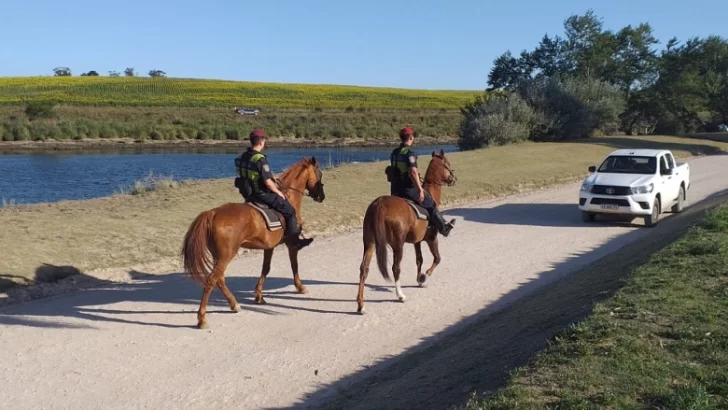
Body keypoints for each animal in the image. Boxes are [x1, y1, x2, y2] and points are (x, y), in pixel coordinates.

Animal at [182, 155, 328, 328]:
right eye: (319, 173)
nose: (321, 196)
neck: (289, 197)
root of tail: (212, 213)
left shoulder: (269, 247)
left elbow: (265, 268)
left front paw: (259, 295)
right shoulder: (291, 244)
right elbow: (294, 266)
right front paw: (300, 287)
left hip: (220, 256)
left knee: (220, 279)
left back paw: (234, 304)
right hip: (226, 255)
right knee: (212, 280)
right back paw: (202, 318)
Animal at [356, 149, 456, 312]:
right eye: (447, 163)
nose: (454, 178)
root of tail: (379, 204)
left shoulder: (417, 241)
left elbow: (419, 259)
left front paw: (419, 279)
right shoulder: (431, 238)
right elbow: (437, 258)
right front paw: (425, 276)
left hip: (370, 243)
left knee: (364, 269)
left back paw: (360, 305)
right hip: (398, 245)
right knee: (395, 268)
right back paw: (400, 295)